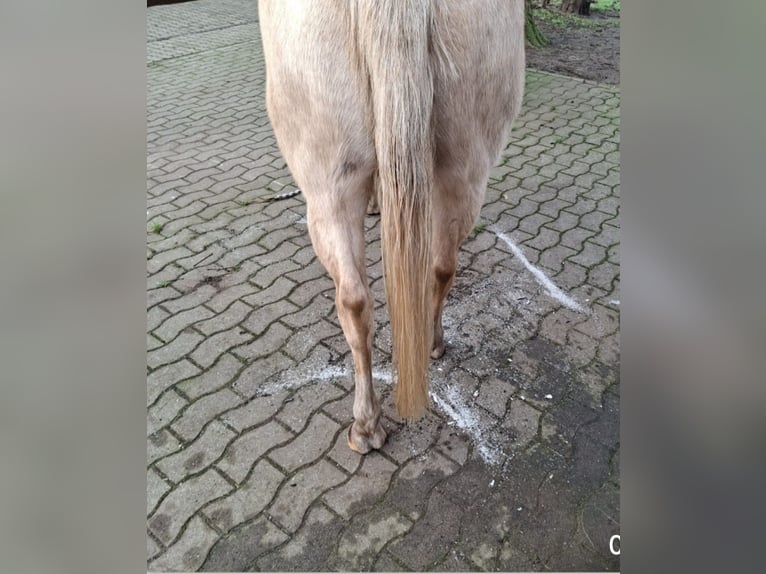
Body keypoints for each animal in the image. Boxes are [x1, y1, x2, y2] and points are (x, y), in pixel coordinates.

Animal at [258, 0, 524, 453]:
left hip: (328, 190)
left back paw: (365, 425)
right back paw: (429, 346)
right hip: (462, 170)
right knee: (435, 269)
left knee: (354, 300)